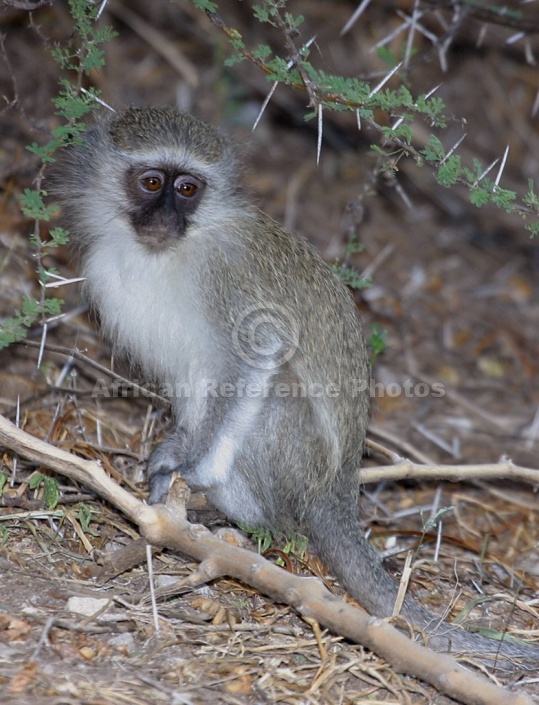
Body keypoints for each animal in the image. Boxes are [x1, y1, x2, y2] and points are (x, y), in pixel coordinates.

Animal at [57, 107, 536, 668]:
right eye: (152, 183)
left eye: (188, 188)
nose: (166, 217)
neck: (168, 251)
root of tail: (338, 489)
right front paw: (169, 462)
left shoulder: (227, 273)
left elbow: (262, 351)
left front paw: (190, 468)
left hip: (302, 465)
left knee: (278, 396)